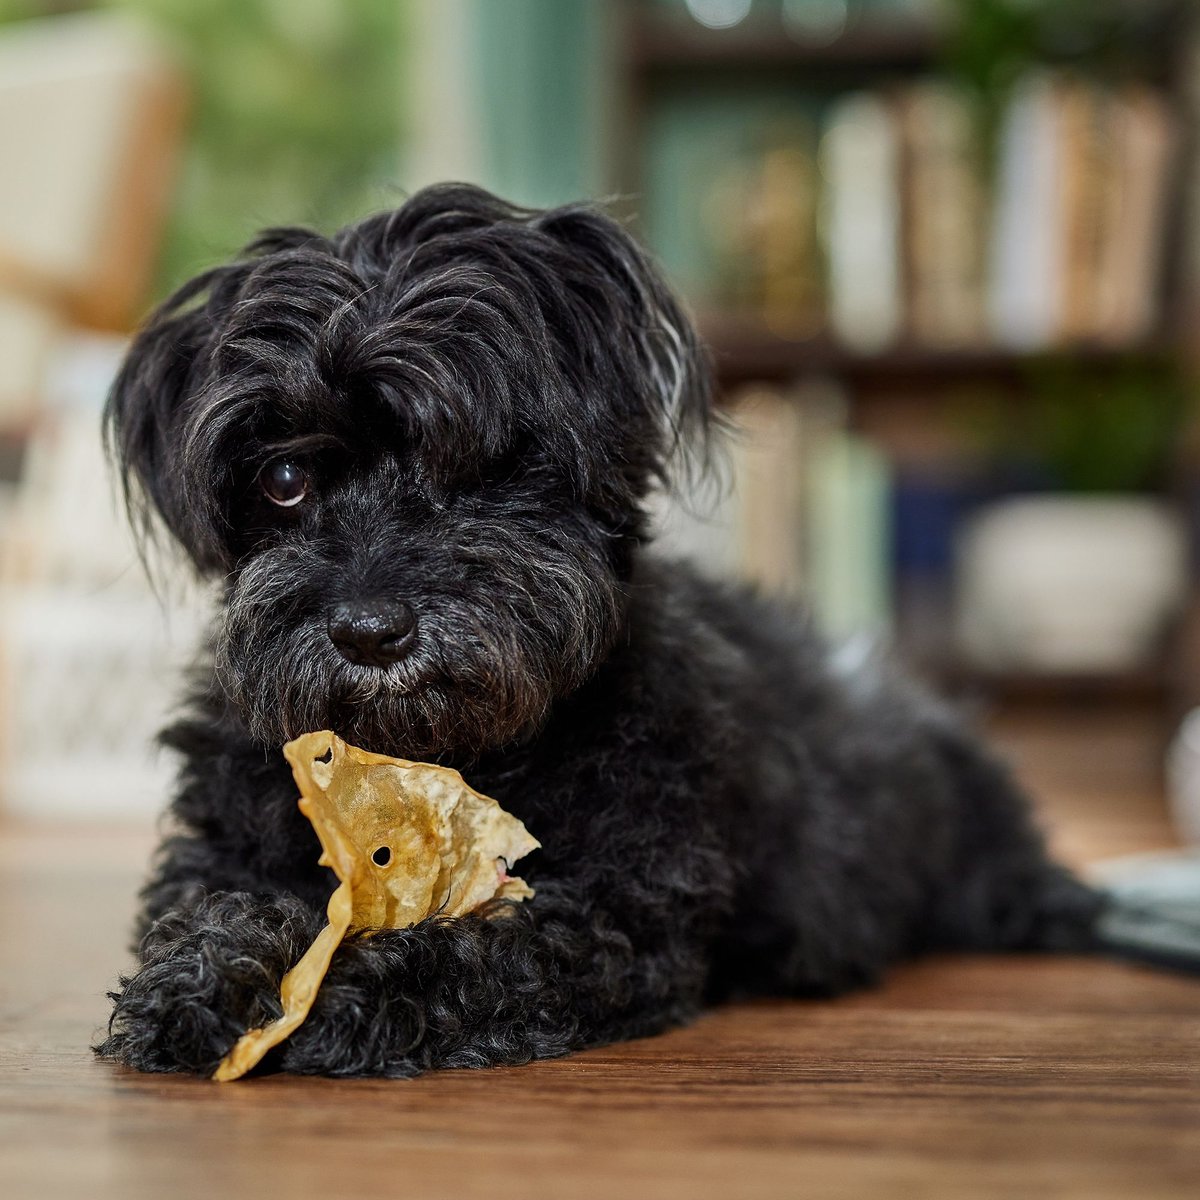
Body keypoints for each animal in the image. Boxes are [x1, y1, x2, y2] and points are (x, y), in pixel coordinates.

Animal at [98, 184, 1108, 1080]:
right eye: (282, 481)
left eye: (482, 459)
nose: (371, 630)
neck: (434, 762)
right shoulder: (218, 846)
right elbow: (205, 906)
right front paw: (213, 975)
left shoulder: (612, 922)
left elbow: (470, 958)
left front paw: (337, 991)